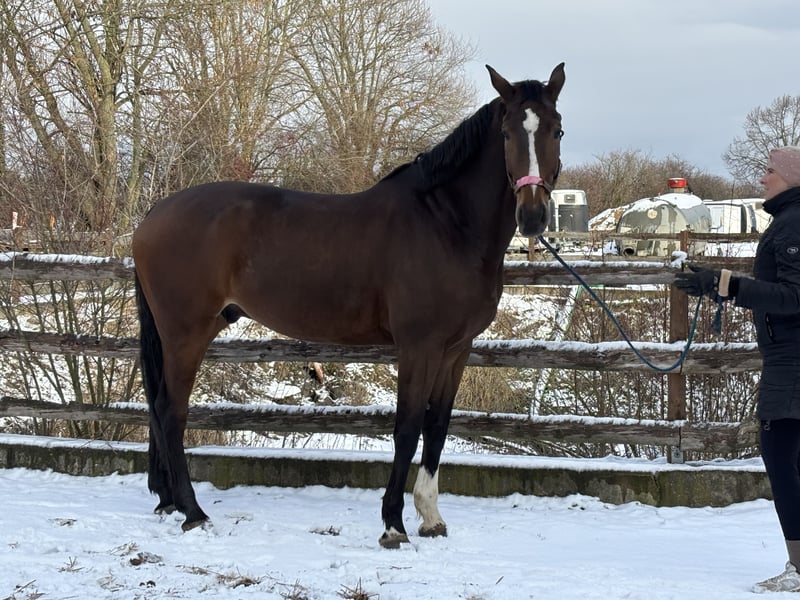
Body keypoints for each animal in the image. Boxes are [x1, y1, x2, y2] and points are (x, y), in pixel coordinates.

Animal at [132, 62, 565, 548]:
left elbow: (437, 427)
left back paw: (169, 502)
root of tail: (152, 216)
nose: (533, 216)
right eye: (508, 133)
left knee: (158, 407)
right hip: (186, 334)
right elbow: (407, 428)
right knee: (171, 412)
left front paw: (431, 518)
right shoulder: (419, 347)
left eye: (557, 129)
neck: (446, 224)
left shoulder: (456, 349)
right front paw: (393, 524)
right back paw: (193, 513)